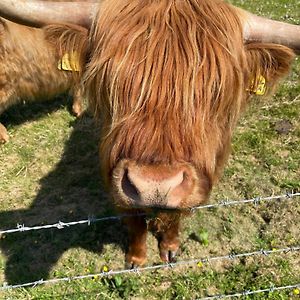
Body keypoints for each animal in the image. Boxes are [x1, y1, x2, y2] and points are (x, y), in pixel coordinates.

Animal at [0, 0, 298, 268]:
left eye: (217, 88)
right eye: (109, 81)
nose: (155, 185)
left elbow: (175, 215)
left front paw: (170, 249)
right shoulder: (114, 174)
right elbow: (134, 220)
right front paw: (136, 259)